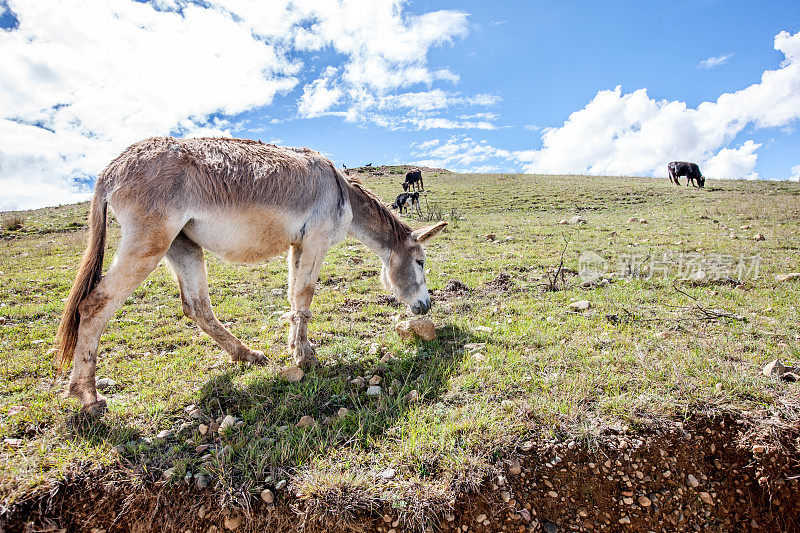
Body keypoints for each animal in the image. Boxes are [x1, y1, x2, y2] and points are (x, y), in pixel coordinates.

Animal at [53, 137, 446, 416]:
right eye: (421, 261)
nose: (426, 307)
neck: (341, 189)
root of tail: (111, 168)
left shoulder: (298, 244)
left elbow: (293, 297)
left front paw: (298, 348)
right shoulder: (316, 241)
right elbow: (304, 294)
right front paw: (305, 357)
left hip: (181, 244)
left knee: (197, 308)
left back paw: (247, 356)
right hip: (148, 244)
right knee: (94, 305)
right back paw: (87, 396)